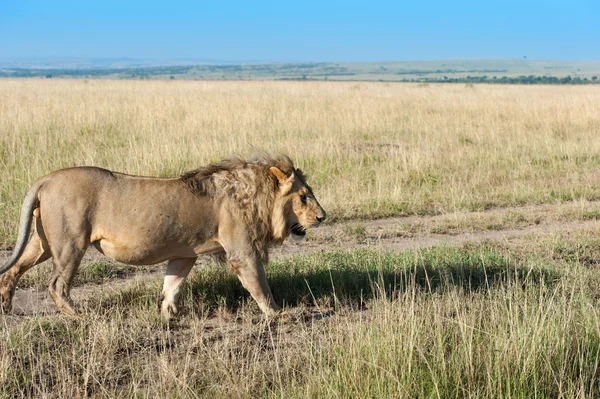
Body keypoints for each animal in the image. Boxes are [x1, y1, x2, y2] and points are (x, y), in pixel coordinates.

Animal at [0, 153, 326, 318]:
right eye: (303, 196)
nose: (323, 217)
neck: (255, 195)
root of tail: (45, 179)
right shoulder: (241, 252)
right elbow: (260, 285)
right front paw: (277, 314)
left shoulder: (184, 254)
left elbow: (172, 284)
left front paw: (169, 315)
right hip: (71, 243)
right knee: (56, 285)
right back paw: (79, 317)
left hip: (42, 243)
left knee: (12, 271)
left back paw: (6, 307)